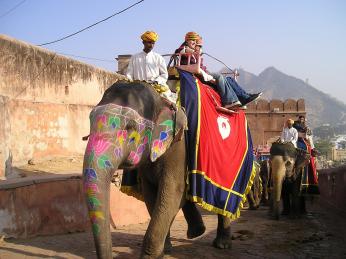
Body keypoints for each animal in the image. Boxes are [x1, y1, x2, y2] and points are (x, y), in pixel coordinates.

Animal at [82, 80, 232, 258]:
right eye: (90, 120)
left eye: (130, 127)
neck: (161, 100)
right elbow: (152, 195)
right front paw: (165, 250)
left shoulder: (179, 147)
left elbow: (172, 192)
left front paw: (151, 256)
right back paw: (197, 232)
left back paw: (222, 244)